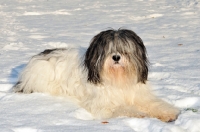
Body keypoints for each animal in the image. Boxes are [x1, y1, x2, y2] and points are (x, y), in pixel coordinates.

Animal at [13, 28, 180, 121]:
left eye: (124, 49)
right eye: (108, 49)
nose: (116, 57)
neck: (118, 79)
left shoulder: (139, 94)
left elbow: (154, 103)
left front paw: (168, 113)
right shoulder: (102, 103)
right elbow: (121, 108)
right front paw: (139, 114)